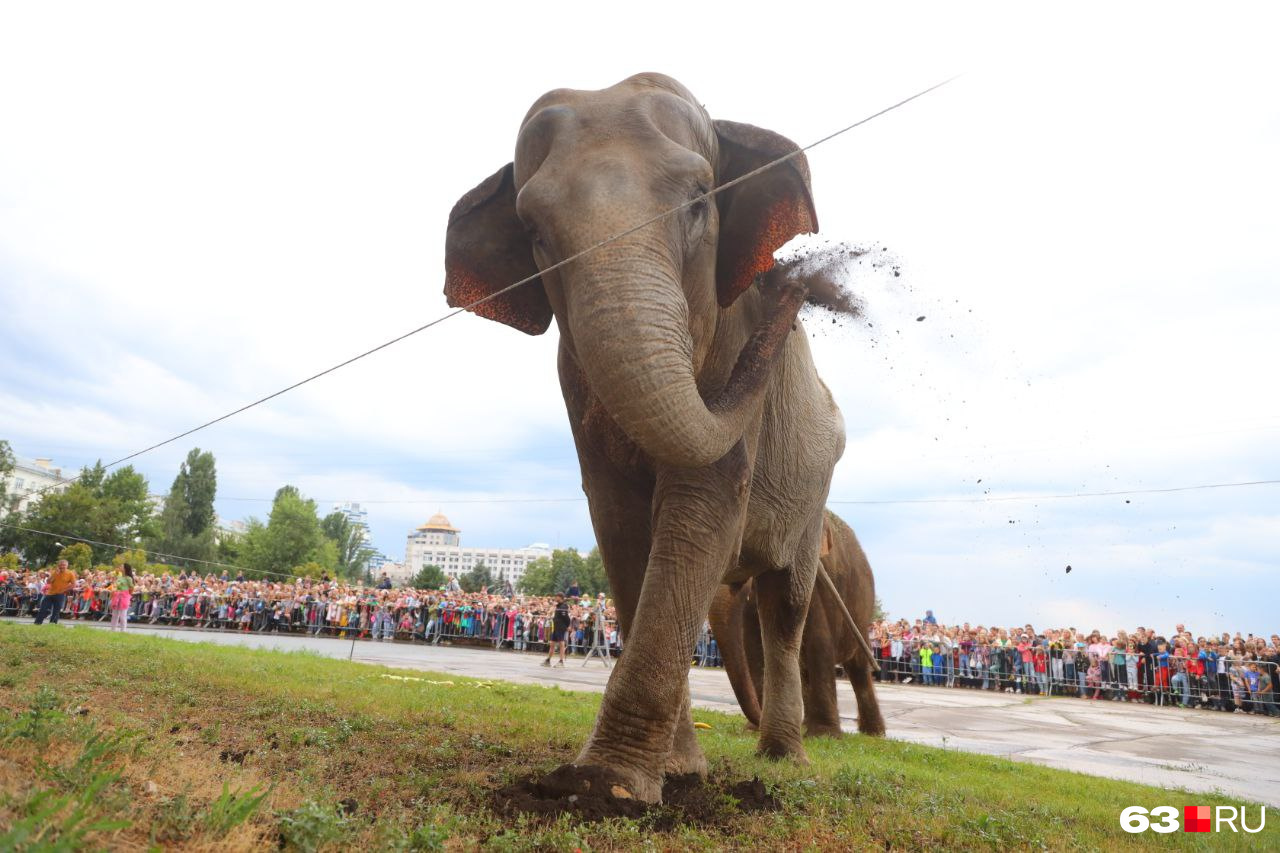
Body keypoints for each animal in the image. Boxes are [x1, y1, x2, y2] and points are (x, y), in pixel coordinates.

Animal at [445, 71, 844, 799]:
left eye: (698, 200)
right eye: (533, 231)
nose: (794, 282)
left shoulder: (730, 334)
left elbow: (703, 501)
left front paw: (610, 787)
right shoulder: (574, 381)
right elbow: (621, 522)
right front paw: (662, 776)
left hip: (816, 493)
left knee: (786, 606)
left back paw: (786, 761)